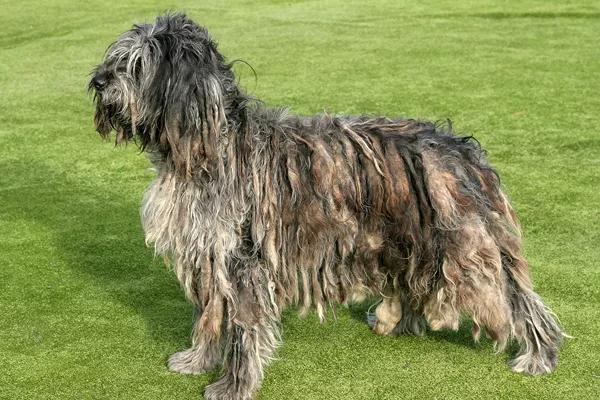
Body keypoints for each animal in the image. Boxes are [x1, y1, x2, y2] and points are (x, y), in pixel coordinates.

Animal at [88, 13, 564, 400]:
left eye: (136, 65)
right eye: (117, 58)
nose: (97, 81)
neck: (209, 148)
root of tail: (460, 149)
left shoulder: (241, 261)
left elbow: (243, 328)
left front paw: (234, 385)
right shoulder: (208, 256)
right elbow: (210, 316)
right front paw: (197, 361)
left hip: (459, 247)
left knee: (516, 297)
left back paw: (538, 355)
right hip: (408, 238)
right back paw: (396, 320)